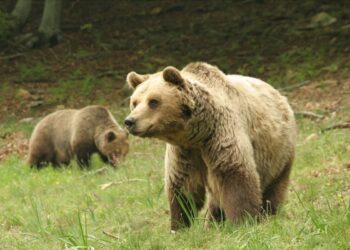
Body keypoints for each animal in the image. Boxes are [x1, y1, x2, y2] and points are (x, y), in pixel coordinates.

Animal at [124, 62, 296, 230]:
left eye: (153, 101)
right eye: (135, 102)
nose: (130, 121)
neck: (198, 134)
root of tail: (279, 94)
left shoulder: (220, 135)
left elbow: (235, 177)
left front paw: (243, 222)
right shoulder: (184, 152)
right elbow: (183, 187)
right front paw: (179, 226)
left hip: (278, 152)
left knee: (274, 188)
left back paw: (269, 215)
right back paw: (214, 222)